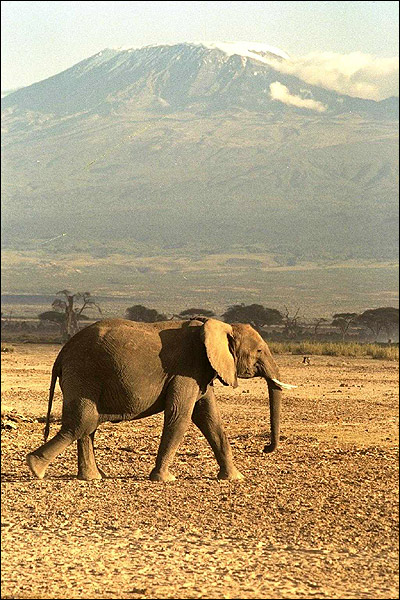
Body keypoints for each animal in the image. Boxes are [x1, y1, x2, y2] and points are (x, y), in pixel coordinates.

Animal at [25, 318, 294, 482]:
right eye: (259, 351)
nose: (266, 448)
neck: (215, 325)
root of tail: (62, 353)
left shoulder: (201, 370)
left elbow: (210, 419)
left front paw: (234, 478)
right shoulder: (187, 368)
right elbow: (180, 416)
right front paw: (165, 479)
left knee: (88, 426)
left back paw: (91, 477)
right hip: (84, 372)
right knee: (83, 422)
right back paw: (35, 468)